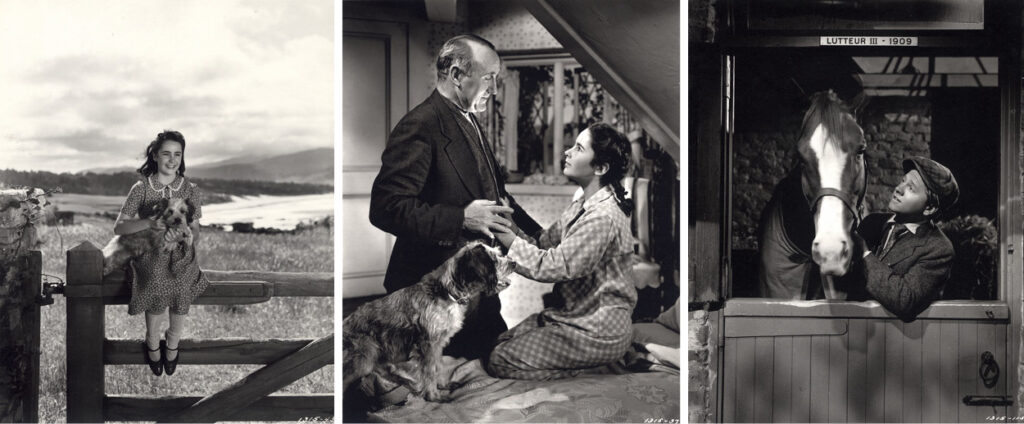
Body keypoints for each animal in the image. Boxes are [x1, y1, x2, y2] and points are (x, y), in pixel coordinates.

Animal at [344, 241, 516, 401]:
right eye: (494, 259)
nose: (514, 262)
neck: (447, 292)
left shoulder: (438, 344)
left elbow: (438, 366)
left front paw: (442, 386)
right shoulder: (428, 344)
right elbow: (430, 371)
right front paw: (434, 396)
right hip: (363, 360)